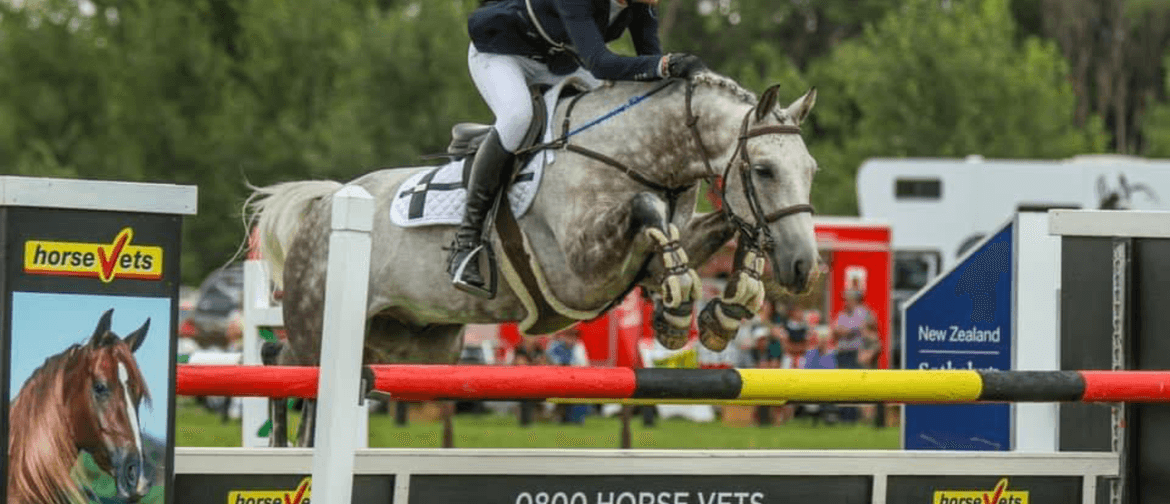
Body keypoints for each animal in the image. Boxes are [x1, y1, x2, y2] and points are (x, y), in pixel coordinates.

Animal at [245, 70, 819, 446]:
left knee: (306, 371)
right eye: (764, 170)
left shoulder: (651, 255)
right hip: (321, 326)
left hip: (409, 346)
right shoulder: (578, 269)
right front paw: (679, 310)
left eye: (809, 169)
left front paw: (730, 303)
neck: (633, 154)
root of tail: (326, 204)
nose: (803, 267)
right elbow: (646, 209)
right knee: (285, 366)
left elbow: (715, 228)